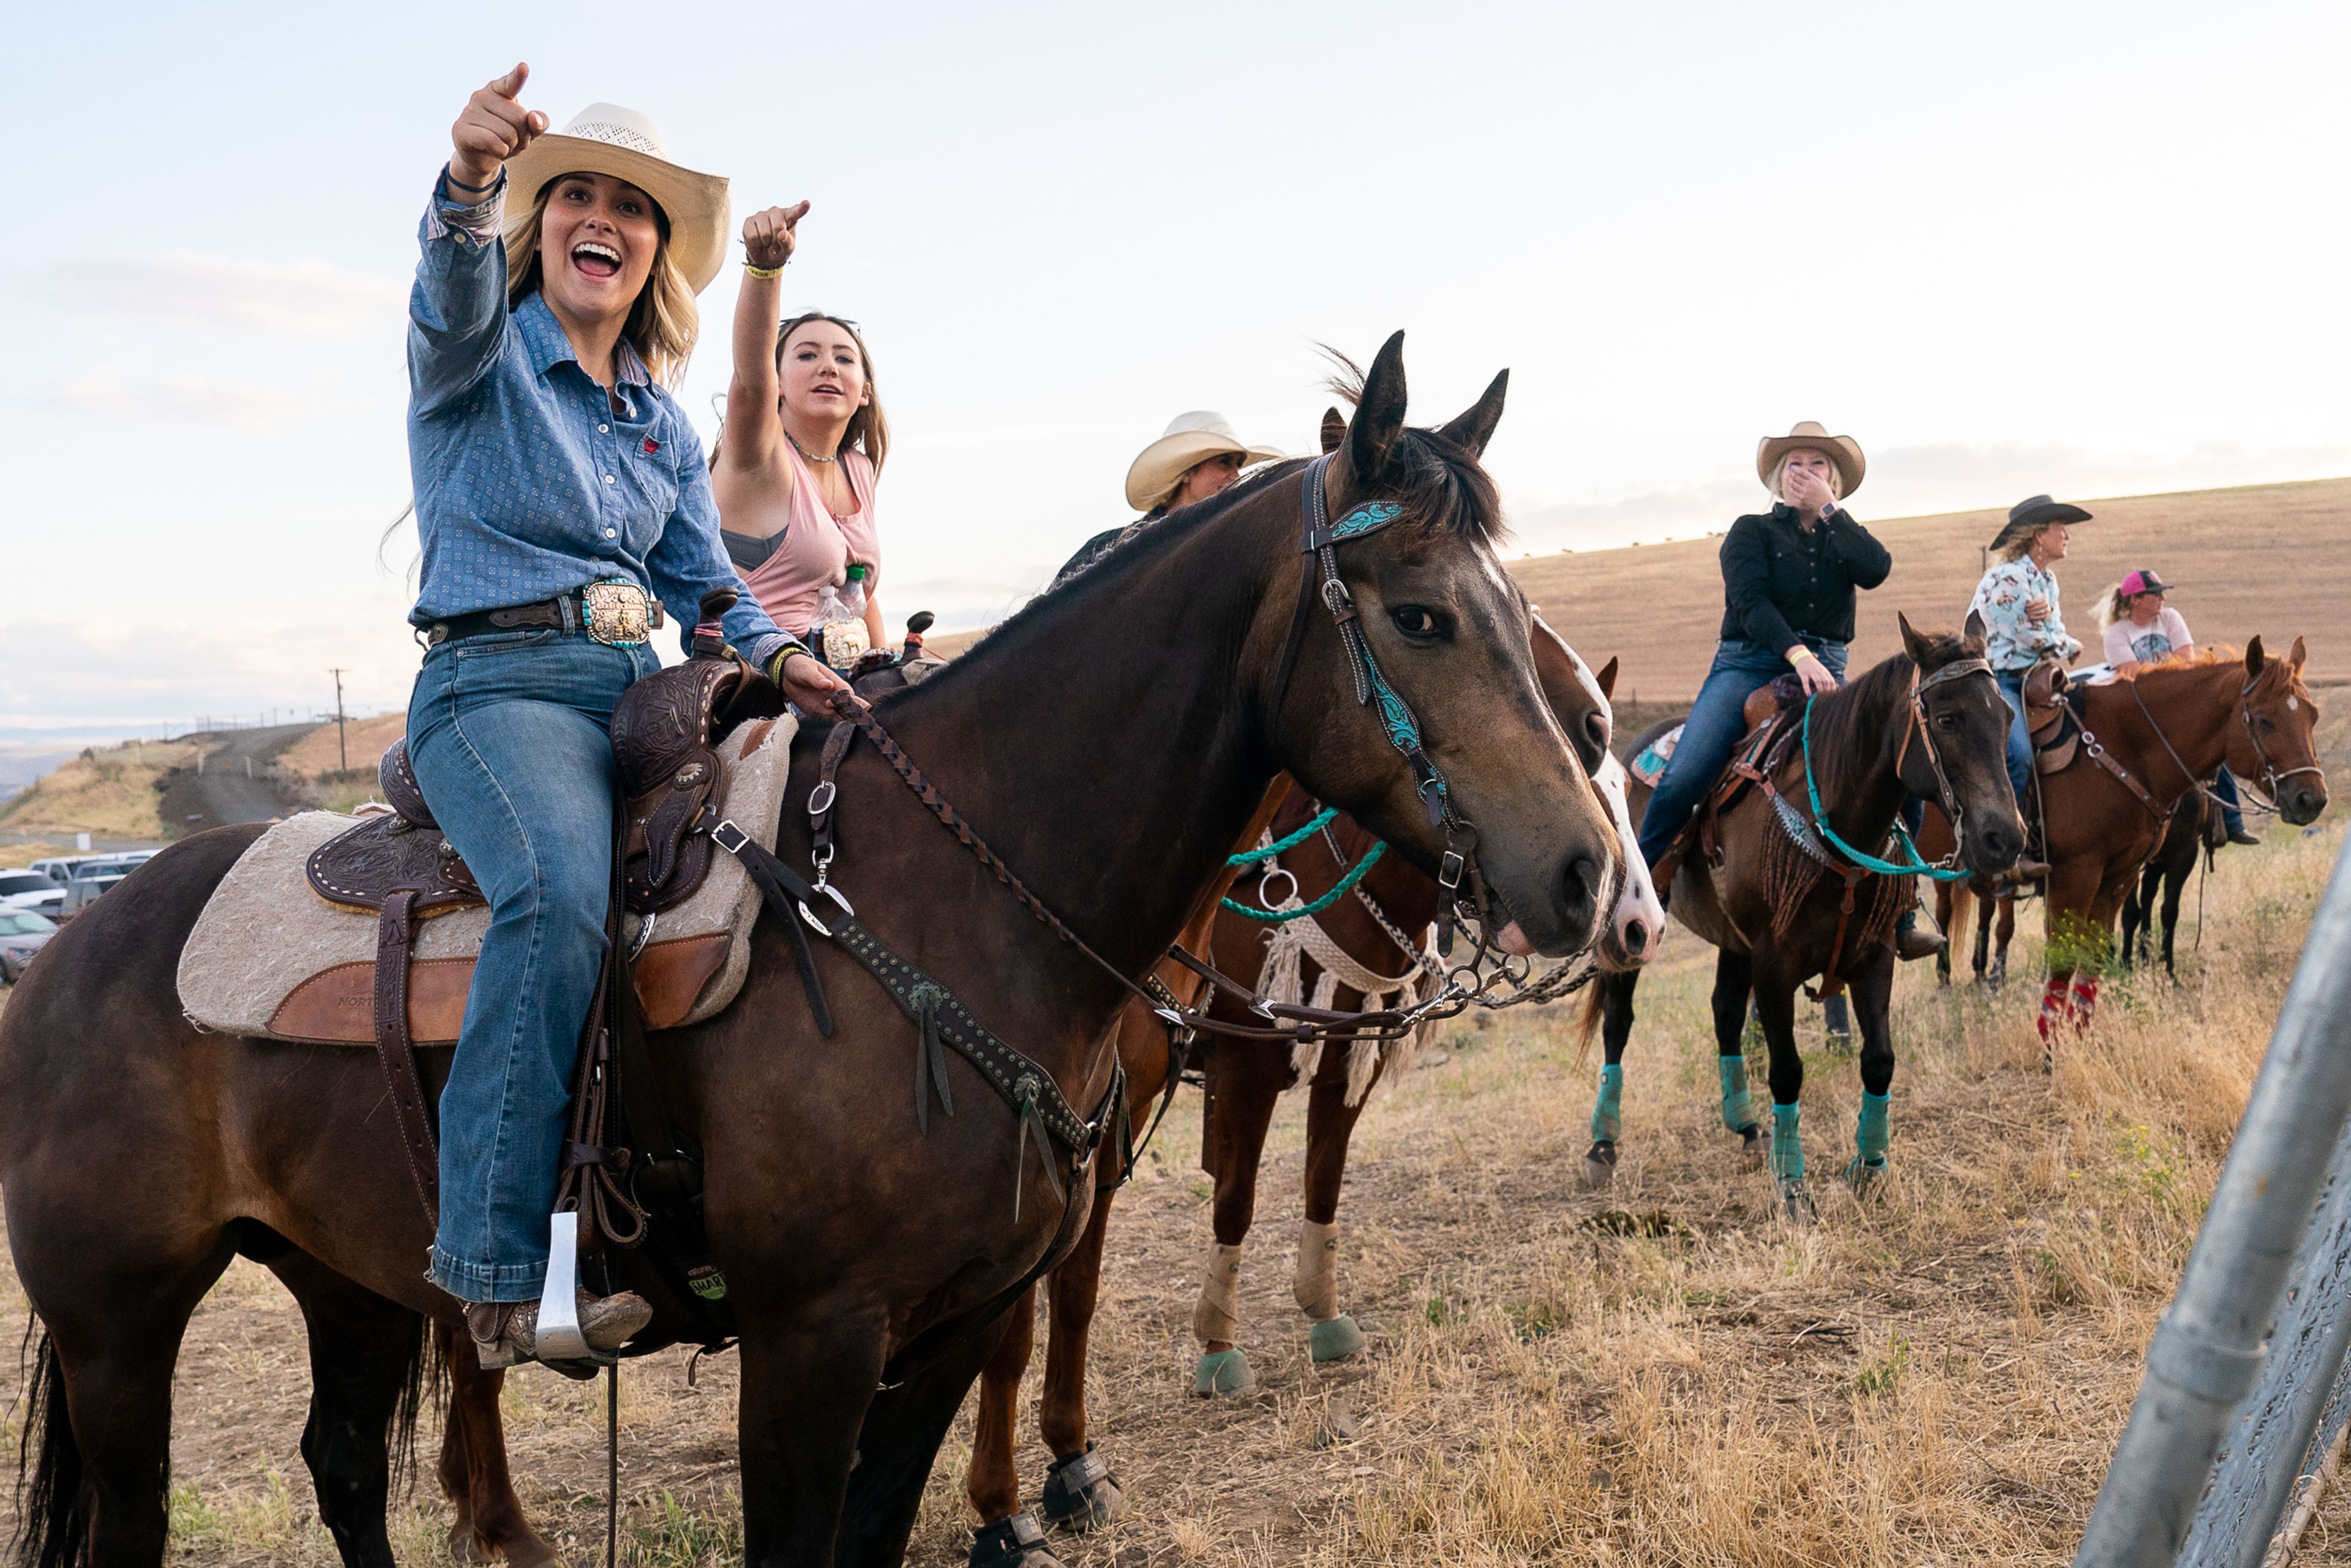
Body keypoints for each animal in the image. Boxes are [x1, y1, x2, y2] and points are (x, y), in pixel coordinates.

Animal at [0, 334, 1627, 1568]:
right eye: (1423, 613)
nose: (1590, 871)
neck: (947, 900)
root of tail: (68, 954)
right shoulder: (812, 1343)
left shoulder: (951, 1324)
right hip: (118, 1324)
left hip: (343, 1276)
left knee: (340, 1461)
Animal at [1580, 620, 2022, 1222]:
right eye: (1948, 718)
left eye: (2006, 716)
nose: (2006, 838)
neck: (1833, 824)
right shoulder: (1774, 967)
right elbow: (1787, 1070)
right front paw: (1793, 1187)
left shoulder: (1874, 956)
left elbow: (1879, 1060)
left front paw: (1871, 1167)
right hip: (1639, 934)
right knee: (1619, 1021)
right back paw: (1603, 1144)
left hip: (1734, 941)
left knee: (1724, 1013)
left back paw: (1746, 1127)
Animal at [1918, 639, 2322, 1053]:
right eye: (2264, 720)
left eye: (2313, 716)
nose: (2311, 799)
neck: (2123, 749)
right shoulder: (2074, 874)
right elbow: (2064, 956)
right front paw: (2051, 1049)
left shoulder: (2125, 872)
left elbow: (2101, 948)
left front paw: (2082, 1034)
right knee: (1949, 914)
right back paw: (1950, 980)